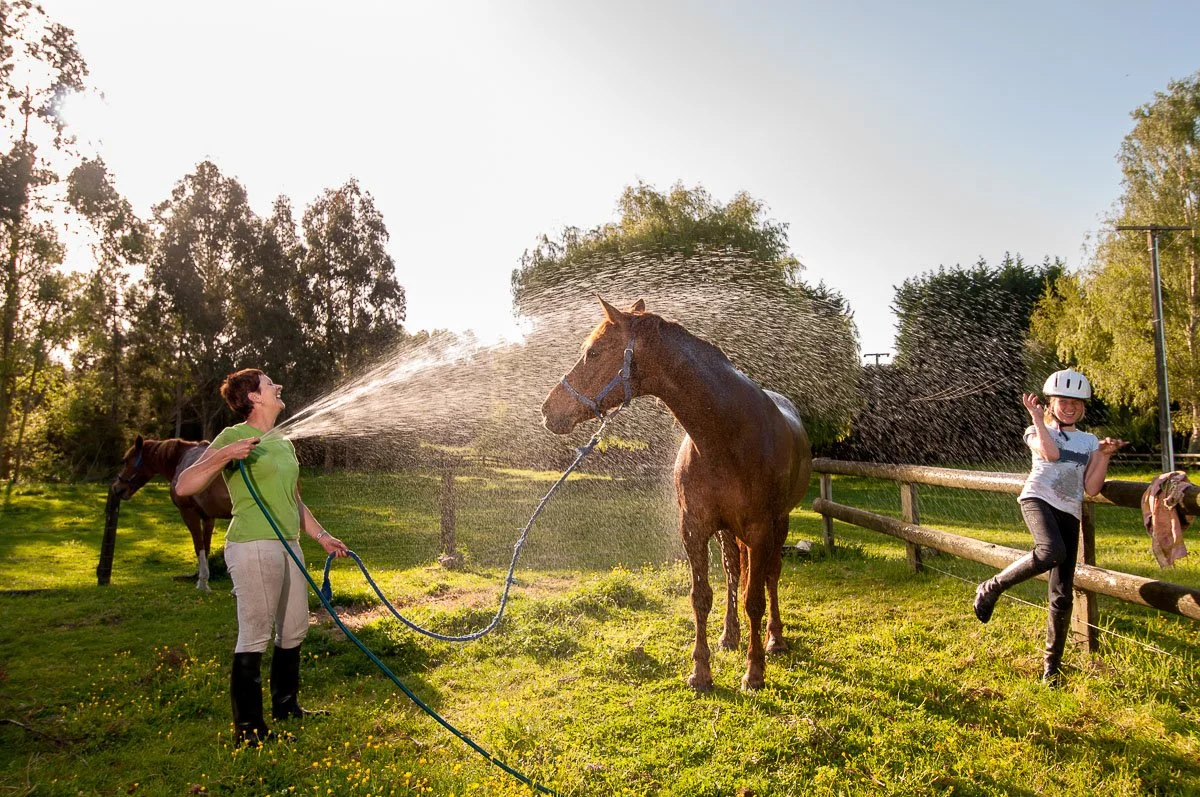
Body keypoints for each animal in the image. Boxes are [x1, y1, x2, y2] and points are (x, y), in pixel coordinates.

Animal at [109, 435, 232, 591]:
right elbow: (206, 546)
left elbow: (198, 547)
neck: (181, 460)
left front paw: (202, 583)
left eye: (125, 460)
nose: (117, 488)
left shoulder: (188, 512)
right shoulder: (208, 517)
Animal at [541, 297, 812, 691]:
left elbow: (756, 600)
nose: (547, 409)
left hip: (779, 524)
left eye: (593, 352)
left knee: (771, 576)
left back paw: (774, 638)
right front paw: (701, 671)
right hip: (728, 532)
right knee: (733, 572)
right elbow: (701, 597)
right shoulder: (694, 528)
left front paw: (754, 672)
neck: (724, 437)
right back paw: (730, 636)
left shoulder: (761, 529)